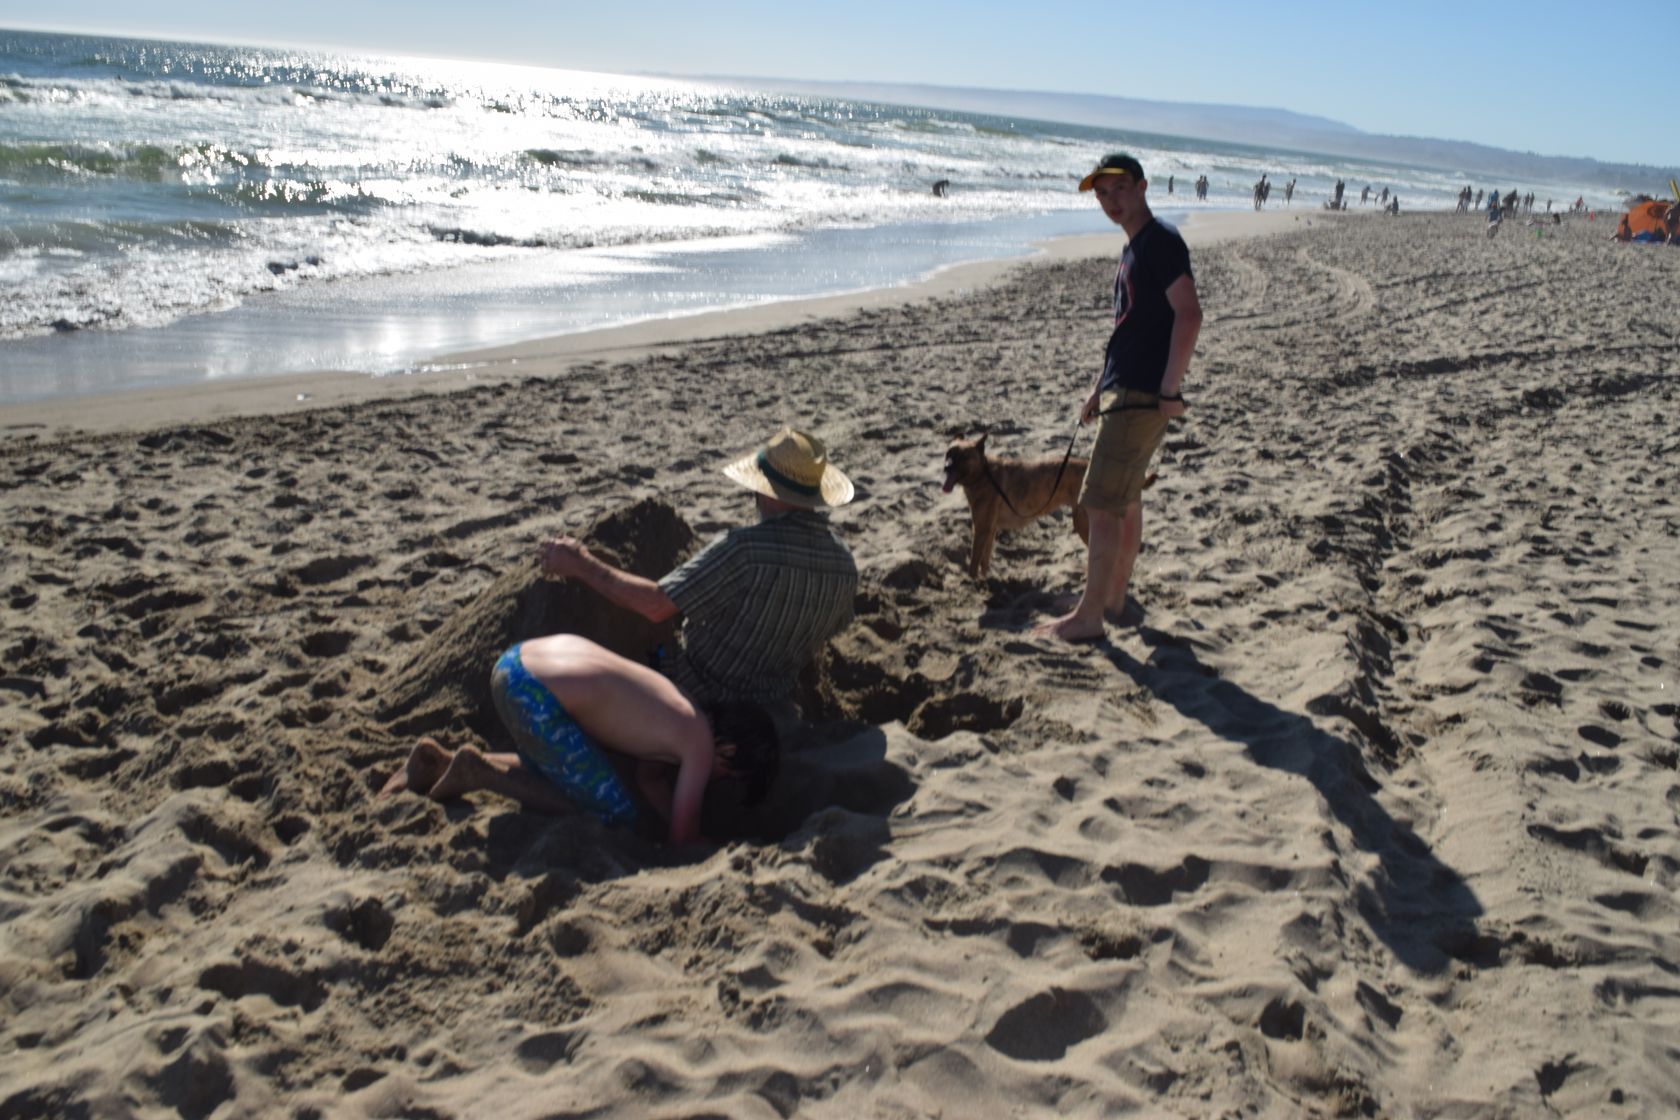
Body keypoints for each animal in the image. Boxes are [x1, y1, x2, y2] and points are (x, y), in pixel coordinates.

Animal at [942, 433, 1090, 580]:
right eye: (948, 453)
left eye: (964, 457)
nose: (946, 467)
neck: (983, 474)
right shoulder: (990, 529)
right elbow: (985, 561)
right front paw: (985, 579)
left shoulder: (980, 529)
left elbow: (973, 563)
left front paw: (971, 581)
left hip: (1082, 523)